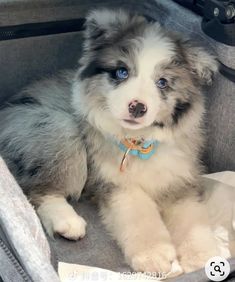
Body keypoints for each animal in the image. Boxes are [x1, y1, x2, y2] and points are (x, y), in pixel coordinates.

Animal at [0, 9, 220, 276]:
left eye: (163, 82)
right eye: (122, 72)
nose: (137, 107)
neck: (141, 143)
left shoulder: (180, 179)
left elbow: (191, 217)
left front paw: (202, 256)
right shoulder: (115, 182)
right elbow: (139, 214)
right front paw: (153, 255)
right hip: (56, 128)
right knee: (37, 190)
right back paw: (67, 222)